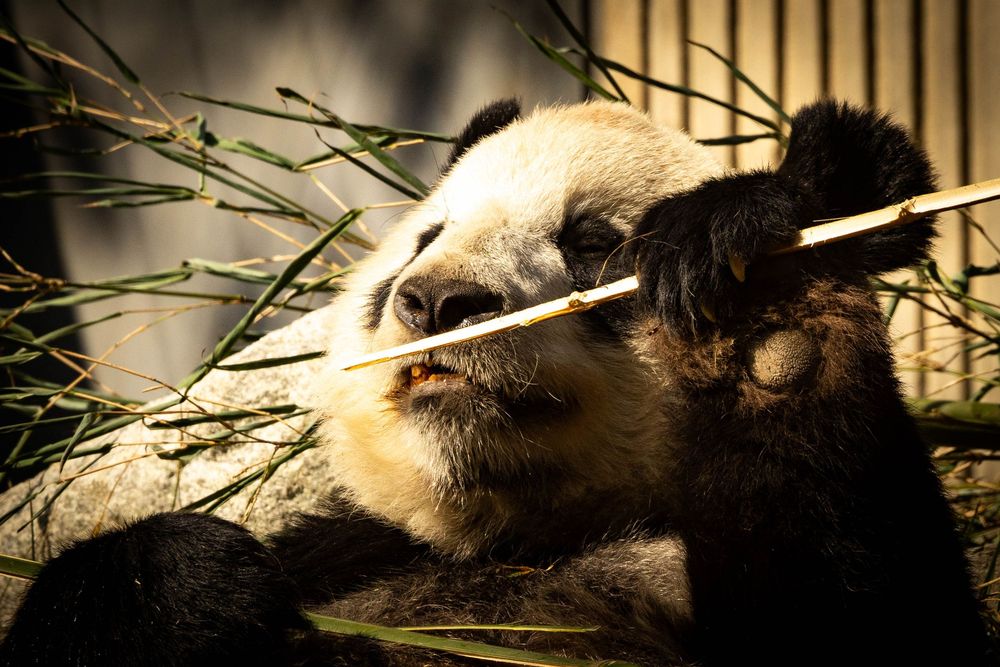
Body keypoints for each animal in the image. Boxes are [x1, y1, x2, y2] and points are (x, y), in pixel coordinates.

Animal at [0, 98, 992, 666]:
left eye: (592, 243)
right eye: (429, 237)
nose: (438, 301)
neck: (519, 536)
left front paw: (753, 288)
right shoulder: (358, 546)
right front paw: (183, 576)